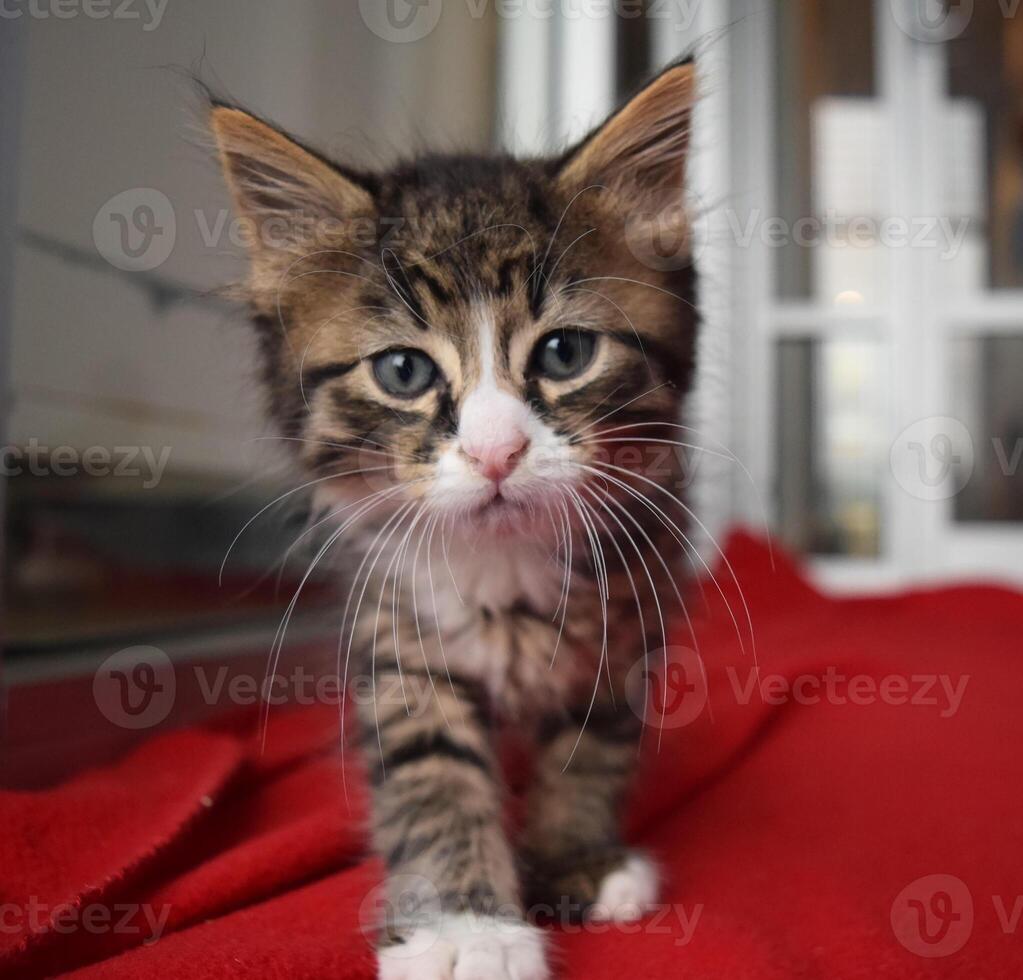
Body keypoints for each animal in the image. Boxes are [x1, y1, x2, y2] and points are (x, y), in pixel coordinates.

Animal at [211, 59, 699, 980]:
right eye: (403, 371)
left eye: (565, 354)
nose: (496, 452)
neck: (500, 563)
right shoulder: (395, 636)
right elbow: (431, 777)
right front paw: (466, 930)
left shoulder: (629, 609)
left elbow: (591, 749)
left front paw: (575, 856)